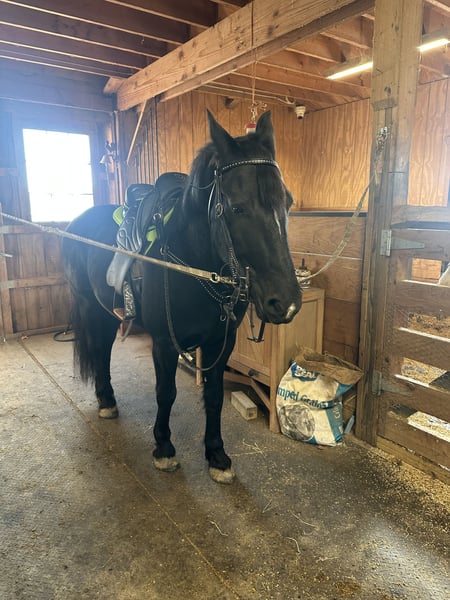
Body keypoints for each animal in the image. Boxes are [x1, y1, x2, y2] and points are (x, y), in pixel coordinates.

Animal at [62, 110, 302, 484]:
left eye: (287, 201)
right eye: (237, 208)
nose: (285, 302)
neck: (194, 262)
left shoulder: (221, 342)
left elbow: (214, 396)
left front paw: (217, 455)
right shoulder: (164, 342)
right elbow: (166, 393)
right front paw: (163, 448)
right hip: (91, 308)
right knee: (100, 351)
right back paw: (106, 401)